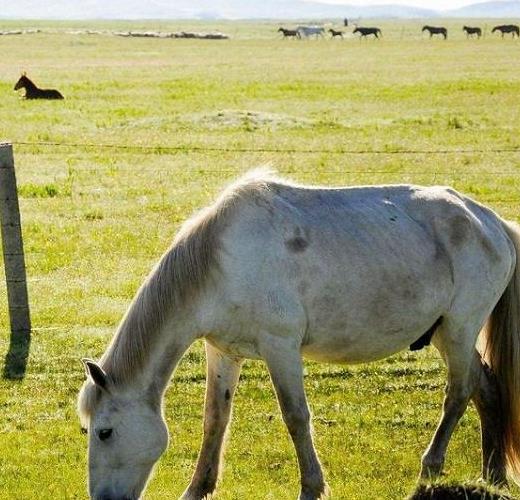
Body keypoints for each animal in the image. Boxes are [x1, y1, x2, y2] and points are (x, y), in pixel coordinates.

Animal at [77, 171, 520, 500]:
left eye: (104, 432)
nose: (103, 499)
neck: (220, 263)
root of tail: (491, 222)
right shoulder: (223, 353)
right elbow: (215, 420)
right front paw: (196, 489)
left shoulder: (281, 348)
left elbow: (296, 417)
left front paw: (311, 487)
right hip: (447, 334)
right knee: (487, 388)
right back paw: (493, 477)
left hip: (460, 328)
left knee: (458, 394)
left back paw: (429, 472)